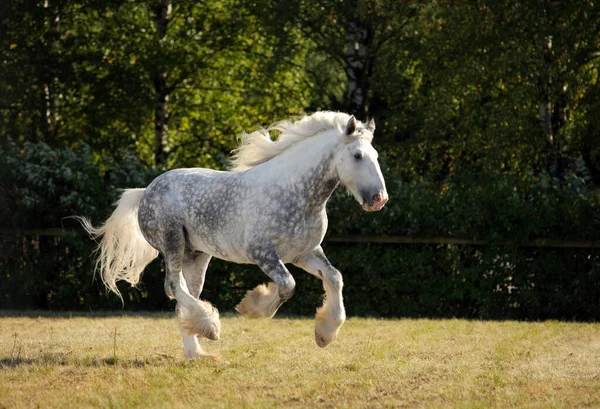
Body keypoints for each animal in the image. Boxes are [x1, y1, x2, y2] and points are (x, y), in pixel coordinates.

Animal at [81, 111, 390, 356]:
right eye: (358, 155)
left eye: (375, 156)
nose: (379, 199)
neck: (296, 193)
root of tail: (146, 191)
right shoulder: (263, 253)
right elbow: (287, 285)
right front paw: (252, 307)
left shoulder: (304, 253)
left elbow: (334, 278)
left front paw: (324, 334)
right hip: (172, 244)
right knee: (173, 287)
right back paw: (211, 328)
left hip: (197, 255)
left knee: (184, 297)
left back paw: (197, 353)